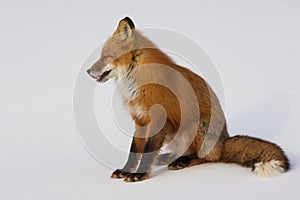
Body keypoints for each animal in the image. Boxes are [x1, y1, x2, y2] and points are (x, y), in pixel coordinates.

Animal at [86, 17, 288, 183]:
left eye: (105, 57)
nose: (87, 71)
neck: (138, 80)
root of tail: (224, 141)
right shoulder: (141, 120)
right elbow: (134, 151)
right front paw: (126, 170)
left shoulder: (158, 120)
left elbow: (146, 153)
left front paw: (139, 174)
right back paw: (170, 157)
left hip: (194, 126)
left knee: (206, 158)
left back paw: (183, 161)